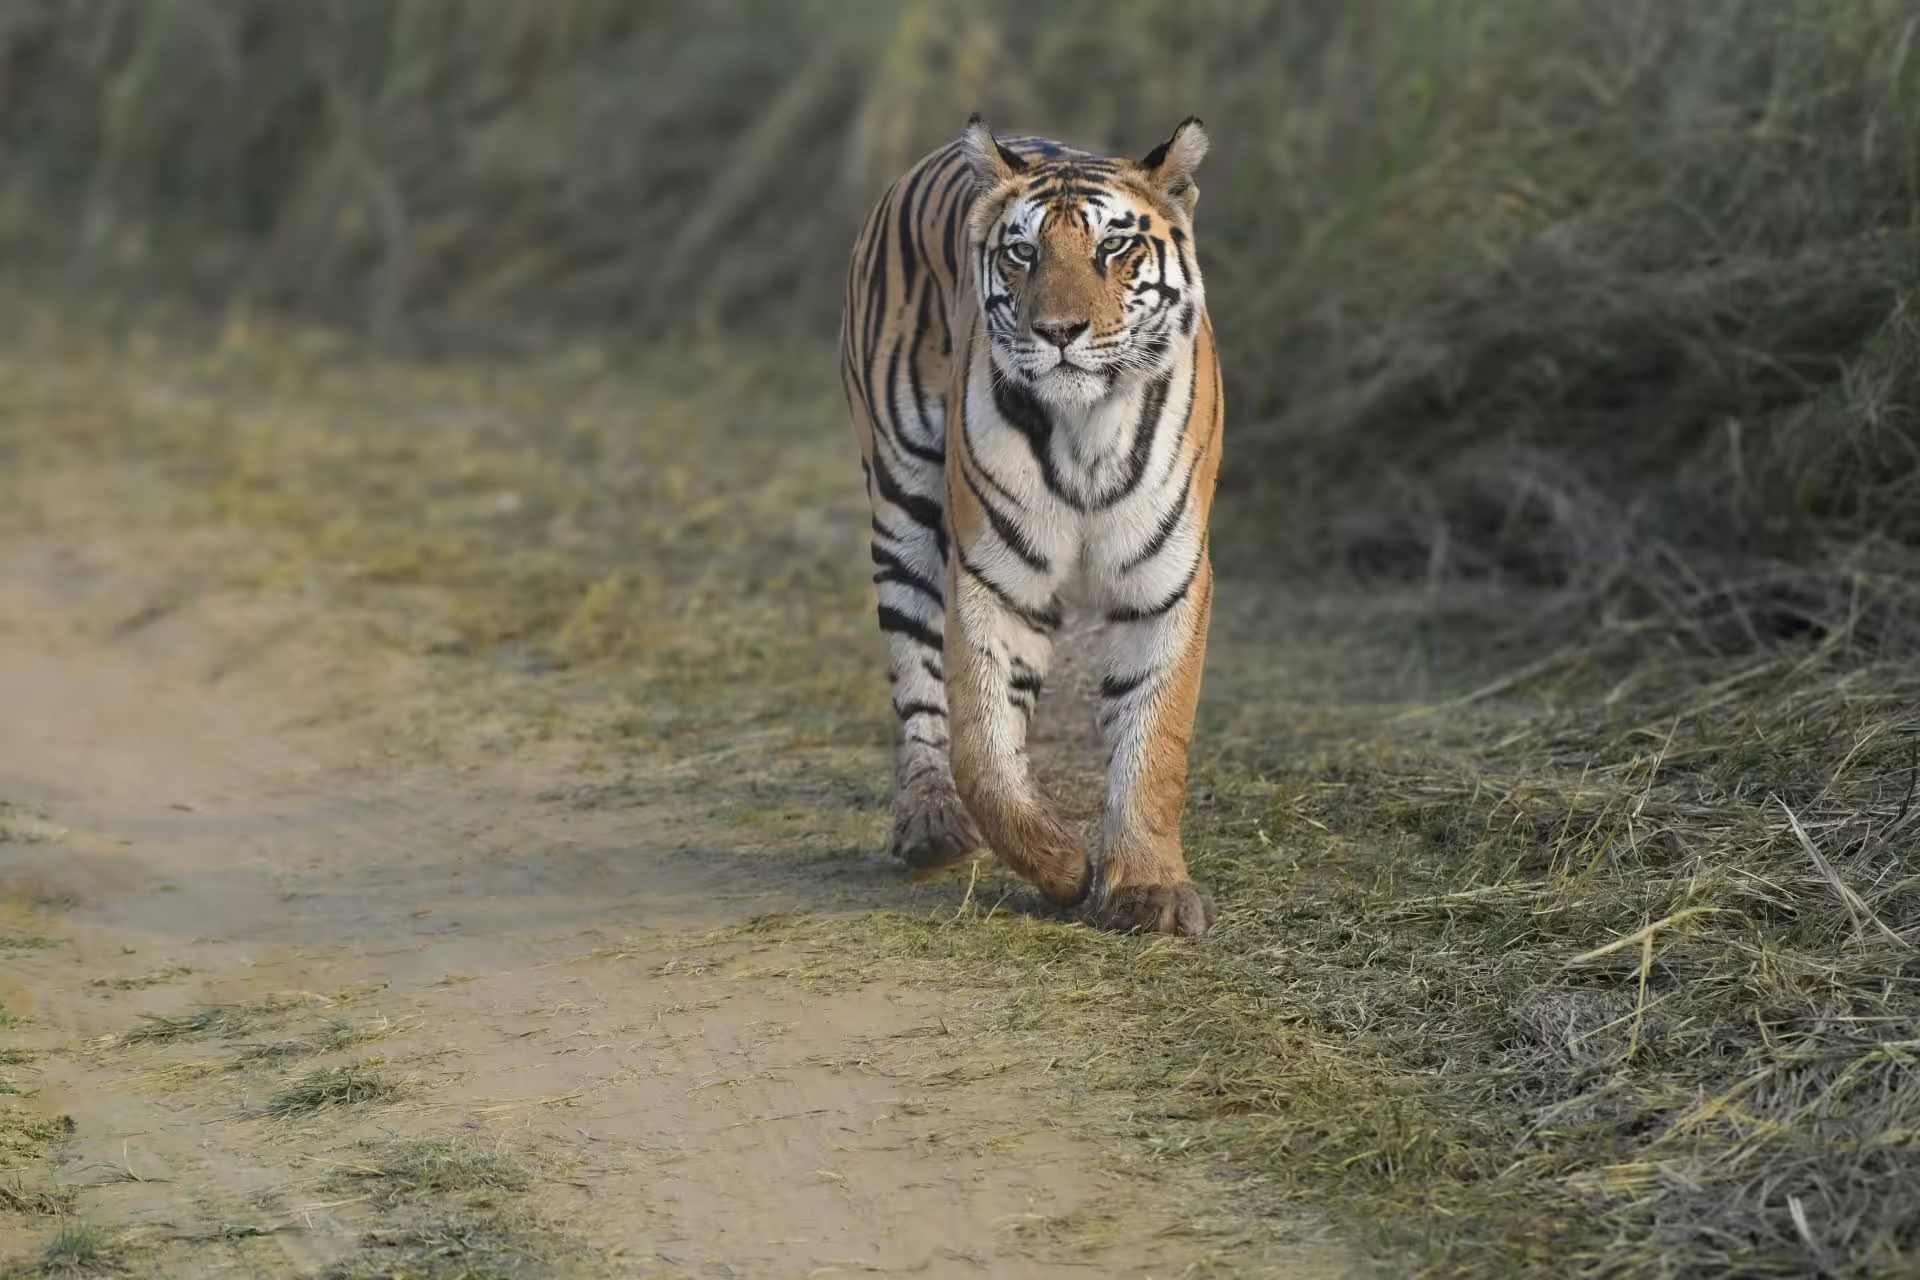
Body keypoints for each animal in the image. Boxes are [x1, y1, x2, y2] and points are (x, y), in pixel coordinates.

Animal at [840, 115, 1222, 937]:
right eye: (1023, 253)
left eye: (1114, 247)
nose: (1058, 331)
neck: (1086, 431)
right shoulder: (995, 577)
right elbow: (984, 754)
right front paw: (1062, 866)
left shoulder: (1166, 580)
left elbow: (1153, 738)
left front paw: (1149, 888)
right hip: (901, 501)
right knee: (917, 681)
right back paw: (930, 822)